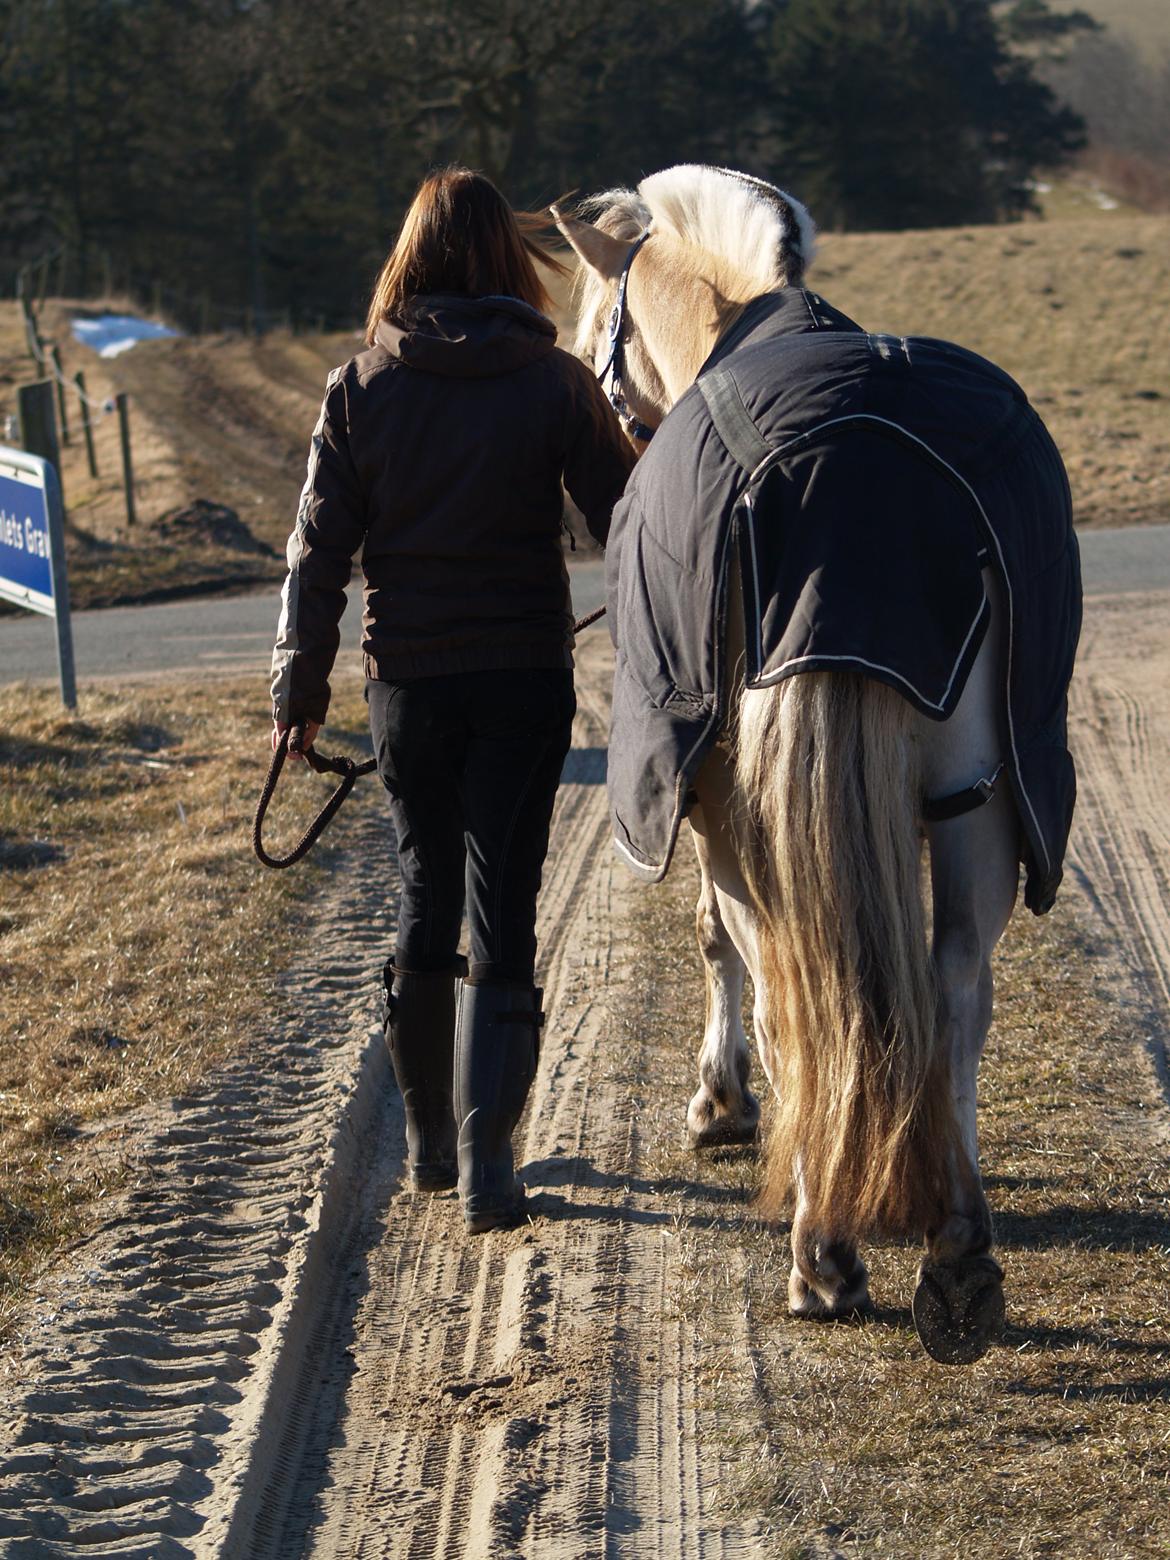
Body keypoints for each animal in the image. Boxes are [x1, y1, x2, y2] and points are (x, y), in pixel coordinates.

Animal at [555, 164, 1085, 1360]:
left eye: (592, 325)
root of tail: (861, 481)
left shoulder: (703, 798)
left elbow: (717, 943)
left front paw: (721, 1106)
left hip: (752, 812)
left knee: (793, 990)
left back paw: (822, 1256)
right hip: (984, 801)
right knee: (957, 989)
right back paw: (957, 1246)